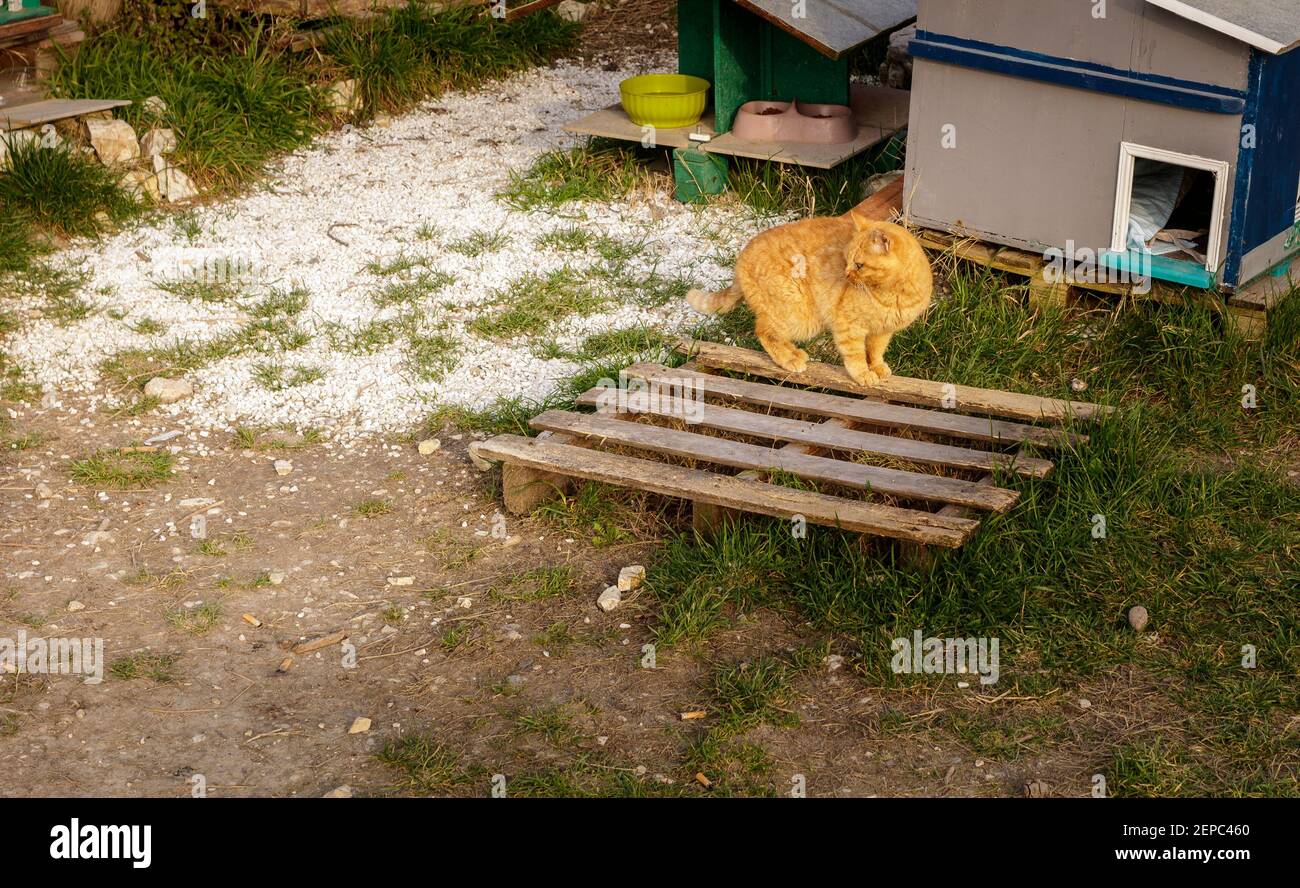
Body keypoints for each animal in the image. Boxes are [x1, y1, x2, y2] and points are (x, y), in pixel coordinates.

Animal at [686, 217, 930, 387]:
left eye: (859, 265)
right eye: (847, 260)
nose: (846, 274)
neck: (895, 293)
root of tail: (741, 257)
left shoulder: (882, 331)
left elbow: (875, 352)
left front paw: (878, 368)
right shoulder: (849, 327)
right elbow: (856, 355)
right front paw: (863, 374)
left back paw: (796, 353)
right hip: (798, 315)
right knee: (764, 331)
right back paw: (790, 359)